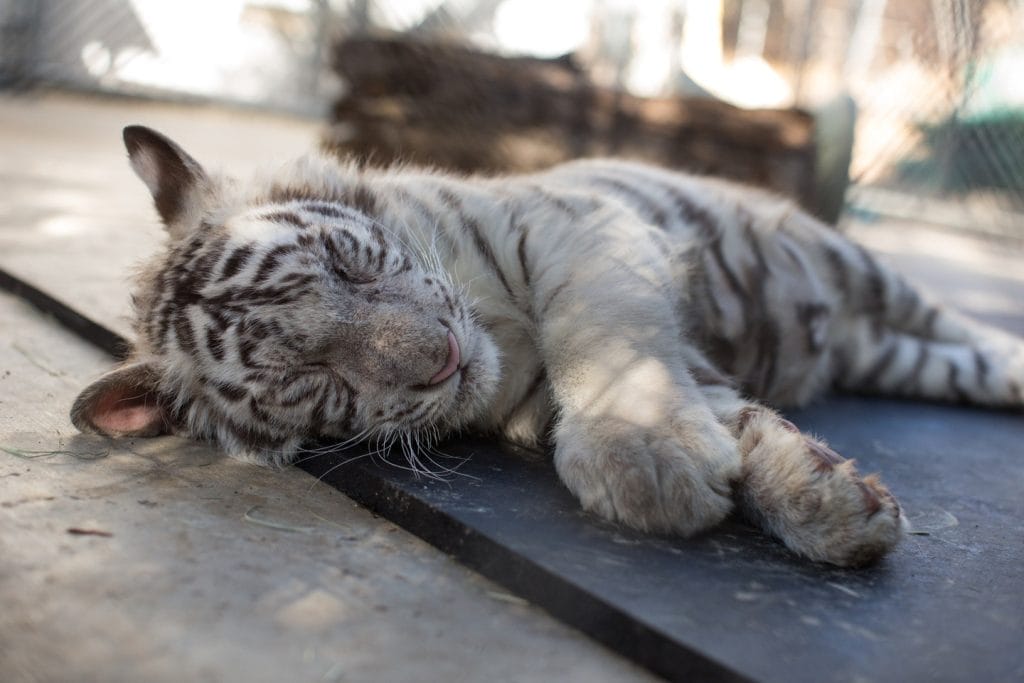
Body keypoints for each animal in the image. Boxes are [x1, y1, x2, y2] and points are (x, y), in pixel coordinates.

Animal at [71, 126, 1024, 567]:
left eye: (348, 263)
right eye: (314, 379)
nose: (442, 358)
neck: (497, 342)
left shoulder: (580, 228)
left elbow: (605, 333)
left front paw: (644, 455)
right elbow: (743, 425)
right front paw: (832, 505)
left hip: (859, 265)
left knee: (964, 325)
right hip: (892, 353)